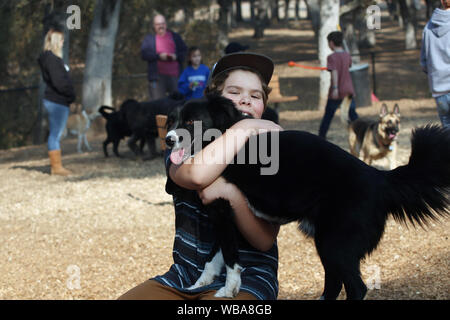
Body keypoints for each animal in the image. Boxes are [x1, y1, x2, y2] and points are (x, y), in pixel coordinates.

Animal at [165, 94, 450, 298]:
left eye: (190, 122)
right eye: (172, 121)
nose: (168, 139)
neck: (223, 137)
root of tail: (379, 177)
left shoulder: (223, 208)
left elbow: (230, 256)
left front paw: (228, 289)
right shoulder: (226, 213)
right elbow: (214, 256)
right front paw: (200, 284)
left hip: (336, 244)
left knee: (355, 287)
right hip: (328, 243)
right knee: (334, 284)